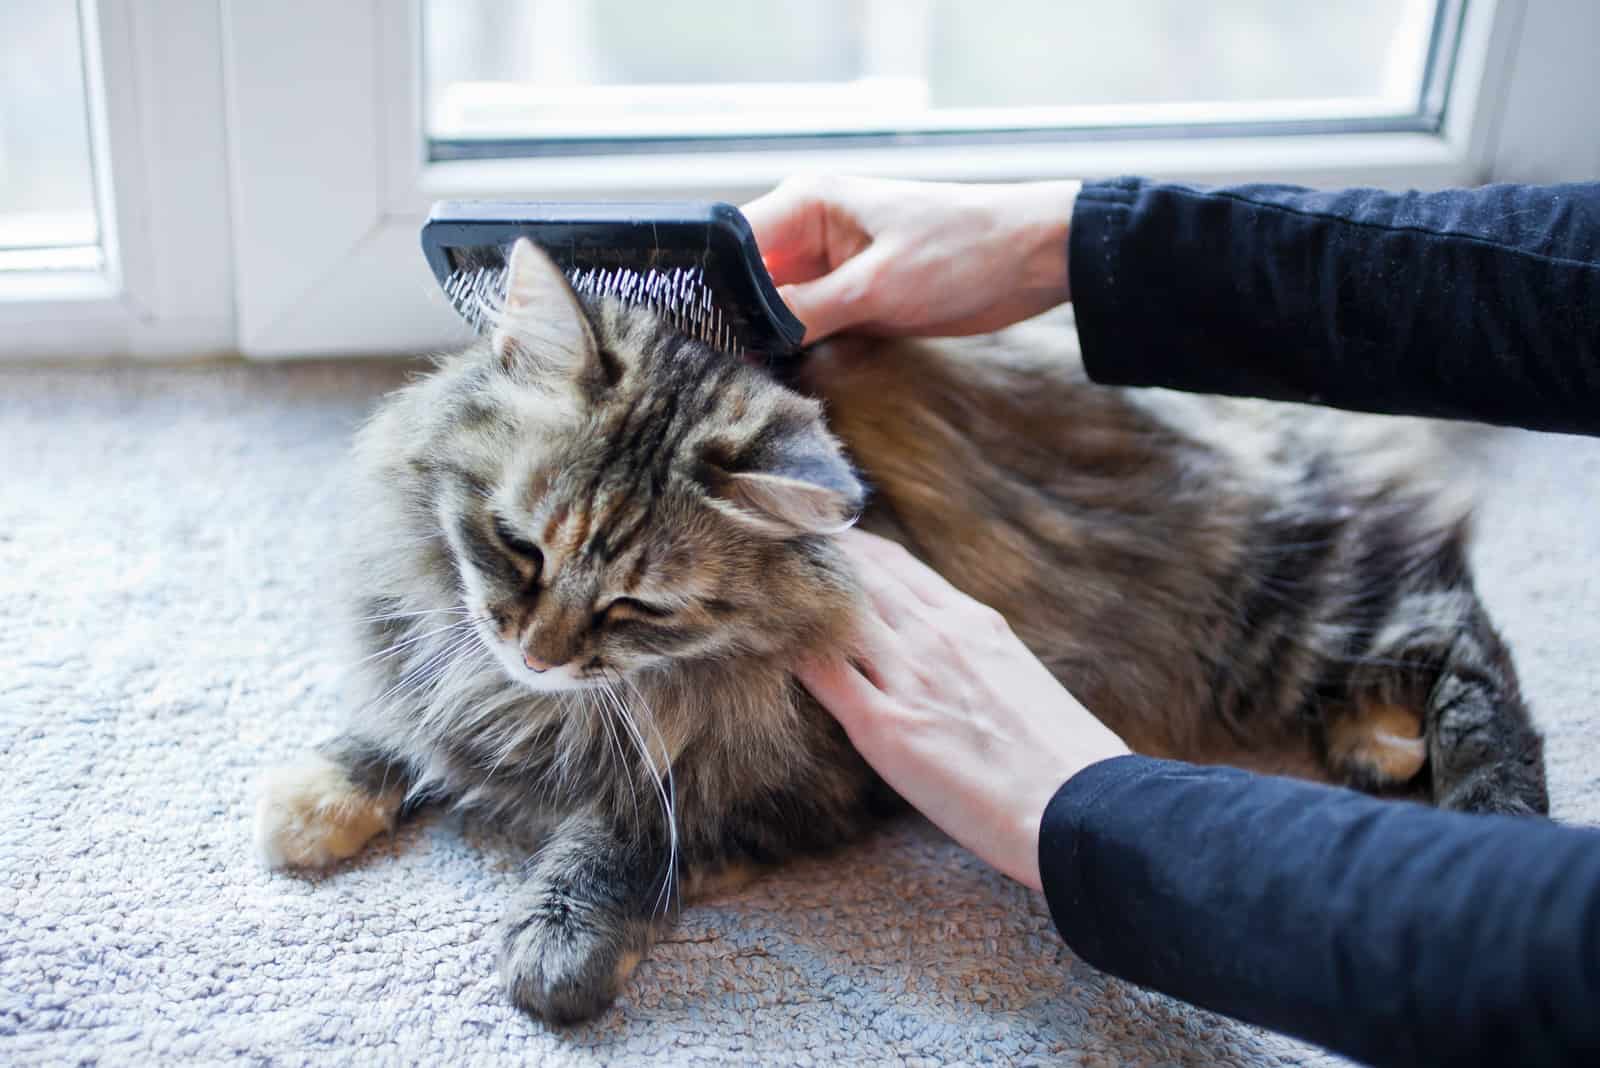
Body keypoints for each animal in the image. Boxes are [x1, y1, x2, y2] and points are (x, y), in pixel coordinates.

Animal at [252, 238, 1548, 1023]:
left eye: (635, 609)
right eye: (517, 547)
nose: (536, 652)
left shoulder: (793, 782)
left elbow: (619, 834)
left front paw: (555, 951)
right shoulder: (448, 671)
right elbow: (407, 728)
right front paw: (313, 802)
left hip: (1290, 606)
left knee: (1468, 647)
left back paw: (1472, 808)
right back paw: (1374, 740)